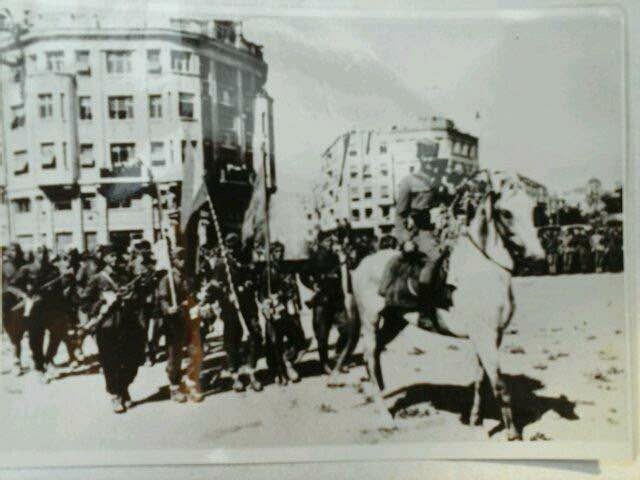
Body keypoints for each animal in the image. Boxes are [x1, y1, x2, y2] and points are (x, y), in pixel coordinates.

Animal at [350, 171, 544, 440]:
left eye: (533, 208)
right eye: (506, 213)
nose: (538, 257)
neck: (485, 268)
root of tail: (361, 264)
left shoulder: (492, 336)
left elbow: (480, 379)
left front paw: (475, 420)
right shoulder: (485, 336)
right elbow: (500, 386)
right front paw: (513, 435)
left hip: (394, 321)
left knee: (377, 354)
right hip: (370, 321)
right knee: (369, 358)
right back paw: (386, 418)